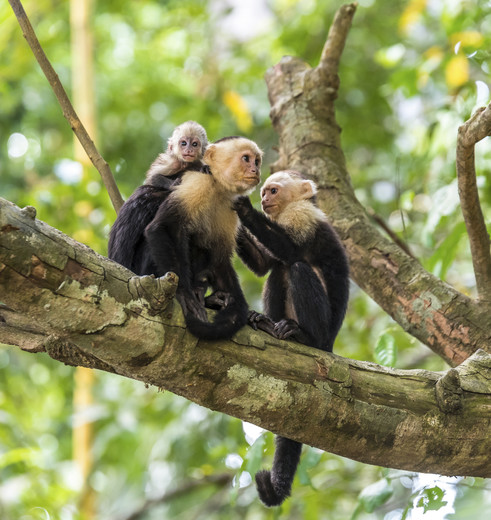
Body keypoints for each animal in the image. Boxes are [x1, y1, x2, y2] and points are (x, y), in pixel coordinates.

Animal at [234, 171, 350, 508]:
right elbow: (265, 265)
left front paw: (243, 209)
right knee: (278, 272)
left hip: (324, 332)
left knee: (296, 267)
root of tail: (330, 344)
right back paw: (267, 324)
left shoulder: (303, 215)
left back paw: (303, 336)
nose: (262, 199)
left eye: (272, 191)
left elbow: (291, 250)